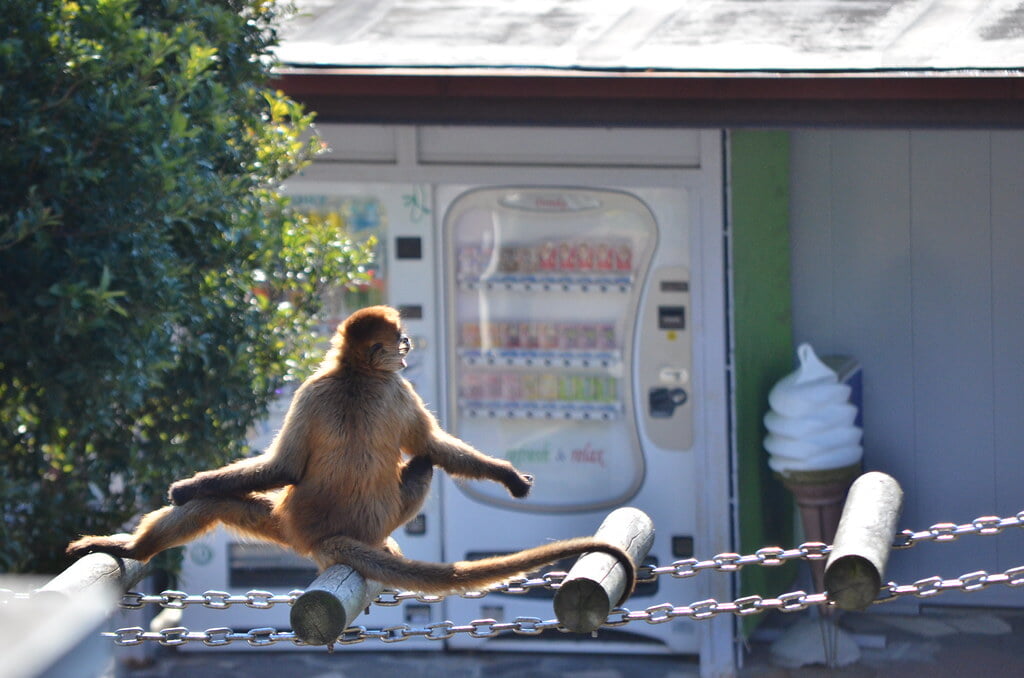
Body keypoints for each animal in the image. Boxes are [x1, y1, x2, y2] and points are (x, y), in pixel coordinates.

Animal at [66, 305, 630, 602]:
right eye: (400, 342)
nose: (408, 348)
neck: (355, 372)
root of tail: (325, 536)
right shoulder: (387, 388)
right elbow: (429, 448)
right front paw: (506, 474)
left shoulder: (321, 388)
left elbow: (283, 467)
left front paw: (186, 485)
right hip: (291, 522)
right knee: (423, 462)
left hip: (285, 524)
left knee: (211, 503)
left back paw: (136, 548)